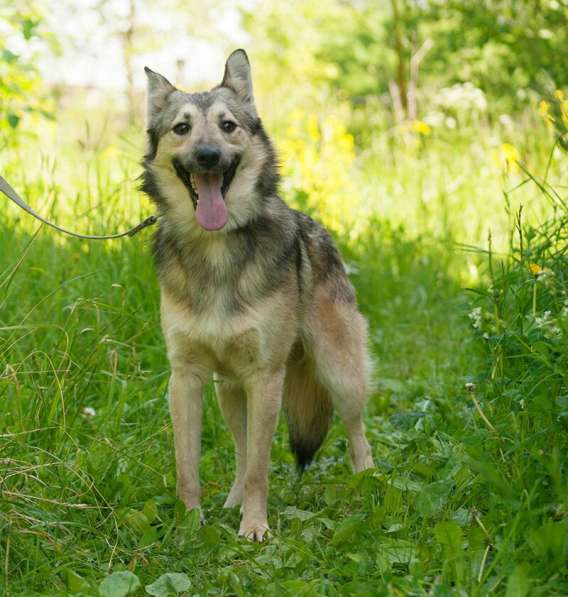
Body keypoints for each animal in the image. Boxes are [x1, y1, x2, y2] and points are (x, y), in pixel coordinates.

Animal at [140, 49, 374, 536]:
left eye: (228, 125)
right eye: (182, 128)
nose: (207, 156)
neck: (216, 249)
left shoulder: (266, 378)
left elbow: (260, 470)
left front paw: (254, 529)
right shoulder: (185, 379)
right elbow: (189, 467)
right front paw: (190, 526)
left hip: (339, 373)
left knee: (357, 429)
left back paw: (368, 480)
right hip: (229, 391)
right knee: (242, 450)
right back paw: (230, 502)